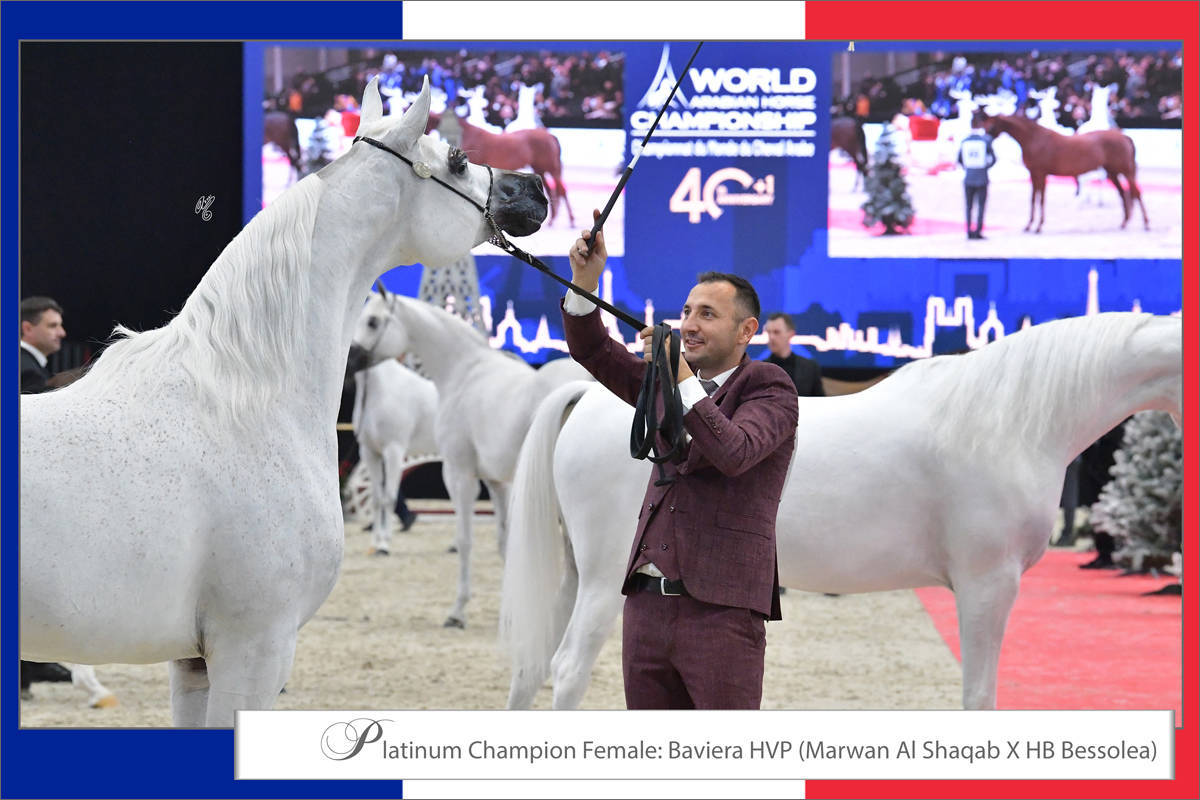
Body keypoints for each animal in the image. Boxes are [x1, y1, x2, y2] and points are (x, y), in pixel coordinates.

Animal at [352, 359, 440, 555]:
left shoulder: (393, 451)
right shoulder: (370, 452)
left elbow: (390, 497)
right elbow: (377, 499)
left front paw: (384, 545)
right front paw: (374, 543)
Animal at [499, 312, 1181, 710]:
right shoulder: (988, 585)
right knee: (566, 671)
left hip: (574, 575)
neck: (1008, 418)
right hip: (605, 579)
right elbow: (979, 700)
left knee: (530, 666)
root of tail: (587, 395)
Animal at [972, 108, 1148, 233]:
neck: (1034, 139)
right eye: (985, 126)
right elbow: (1033, 199)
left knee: (1137, 193)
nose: (984, 142)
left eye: (992, 127)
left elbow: (1041, 199)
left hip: (1125, 171)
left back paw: (1146, 224)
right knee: (1123, 193)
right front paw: (1029, 226)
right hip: (1112, 172)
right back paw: (1124, 223)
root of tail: (1123, 136)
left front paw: (1038, 227)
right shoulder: (1033, 175)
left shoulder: (1041, 174)